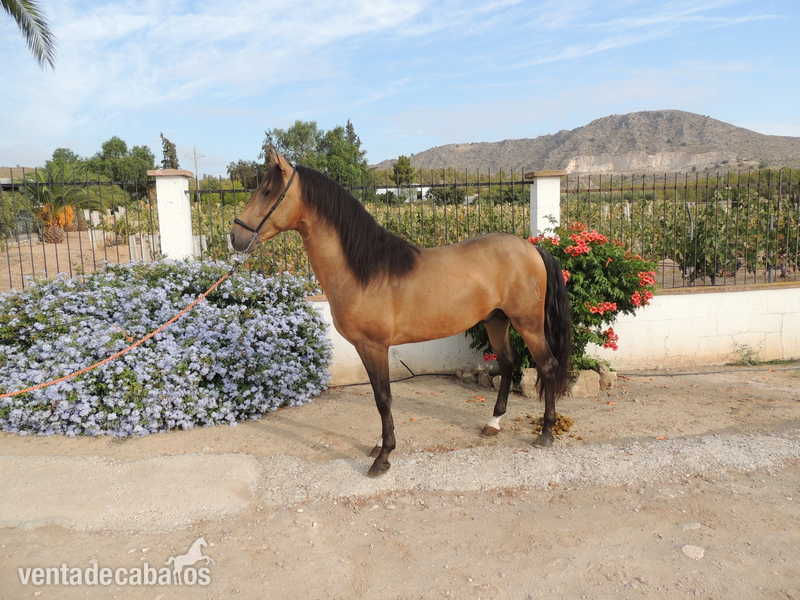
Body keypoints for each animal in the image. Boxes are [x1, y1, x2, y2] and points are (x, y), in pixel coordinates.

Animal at [230, 149, 572, 478]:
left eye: (268, 191)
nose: (235, 236)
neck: (364, 271)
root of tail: (531, 248)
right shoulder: (364, 348)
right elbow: (378, 396)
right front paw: (379, 443)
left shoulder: (375, 346)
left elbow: (384, 398)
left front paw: (383, 457)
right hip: (496, 321)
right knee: (508, 362)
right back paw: (493, 423)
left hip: (528, 323)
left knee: (547, 366)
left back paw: (546, 432)